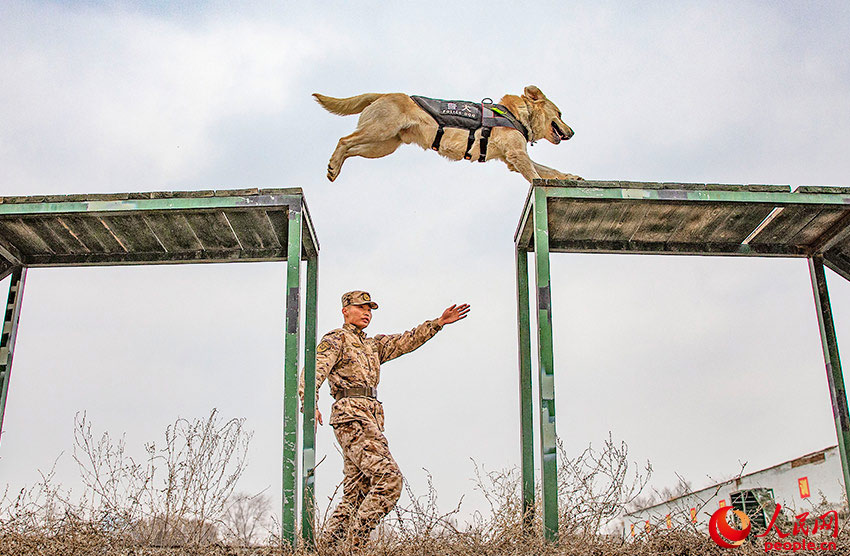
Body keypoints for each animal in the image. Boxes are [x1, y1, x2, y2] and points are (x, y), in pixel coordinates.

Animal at [314, 85, 580, 182]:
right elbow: (535, 174)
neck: (516, 113)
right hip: (379, 131)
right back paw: (334, 164)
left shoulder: (512, 159)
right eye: (560, 113)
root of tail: (382, 94)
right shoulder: (517, 155)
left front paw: (570, 177)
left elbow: (548, 169)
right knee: (344, 140)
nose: (573, 132)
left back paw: (334, 167)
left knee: (351, 148)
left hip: (382, 145)